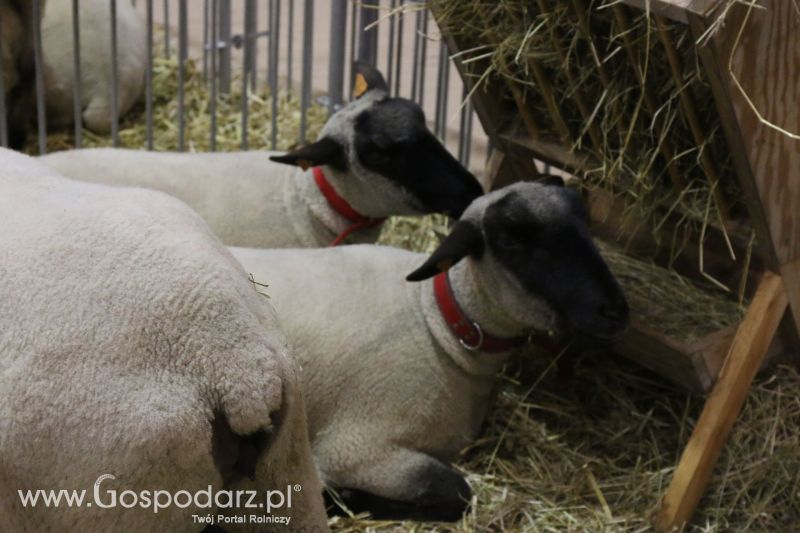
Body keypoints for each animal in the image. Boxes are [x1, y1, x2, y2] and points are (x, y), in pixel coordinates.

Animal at [231, 179, 632, 520]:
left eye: (585, 223)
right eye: (510, 241)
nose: (615, 311)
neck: (439, 322)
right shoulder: (355, 448)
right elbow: (457, 492)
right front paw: (345, 497)